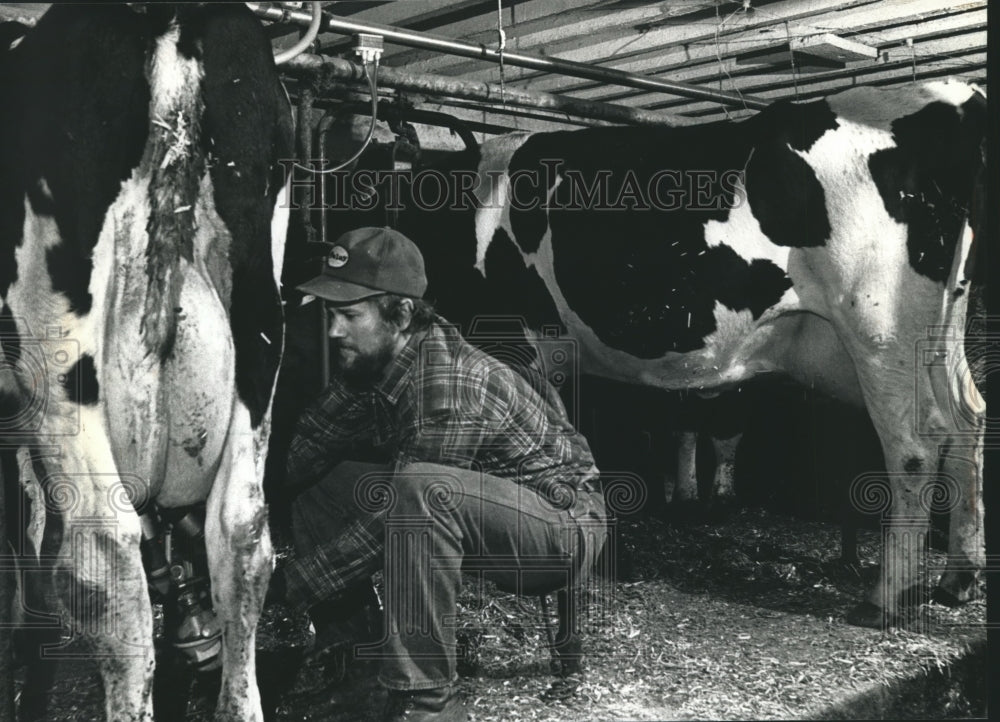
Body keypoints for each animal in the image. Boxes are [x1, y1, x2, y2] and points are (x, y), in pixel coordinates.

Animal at [388, 80, 984, 624]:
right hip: (938, 332)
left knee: (914, 446)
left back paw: (886, 597)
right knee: (968, 420)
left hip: (879, 324)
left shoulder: (510, 339)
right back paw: (958, 578)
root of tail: (951, 95)